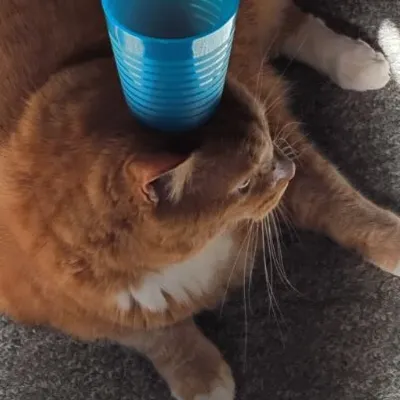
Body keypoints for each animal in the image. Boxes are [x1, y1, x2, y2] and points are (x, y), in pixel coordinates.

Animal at [0, 1, 398, 400]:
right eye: (243, 183)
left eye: (266, 151)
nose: (287, 169)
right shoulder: (76, 306)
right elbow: (154, 332)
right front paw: (201, 377)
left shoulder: (274, 120)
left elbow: (335, 202)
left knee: (288, 22)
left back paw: (359, 63)